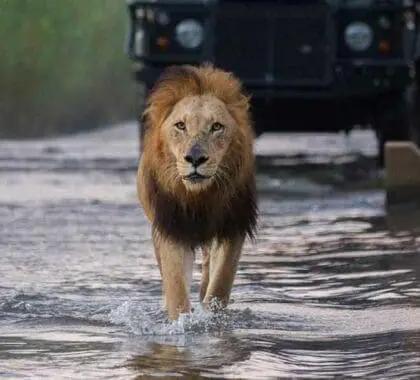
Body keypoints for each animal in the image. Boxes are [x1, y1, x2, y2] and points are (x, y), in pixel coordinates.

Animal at [136, 63, 258, 320]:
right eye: (181, 125)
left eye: (216, 127)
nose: (194, 158)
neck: (201, 197)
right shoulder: (173, 228)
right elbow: (176, 289)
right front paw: (182, 321)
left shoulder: (233, 227)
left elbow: (220, 283)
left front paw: (212, 315)